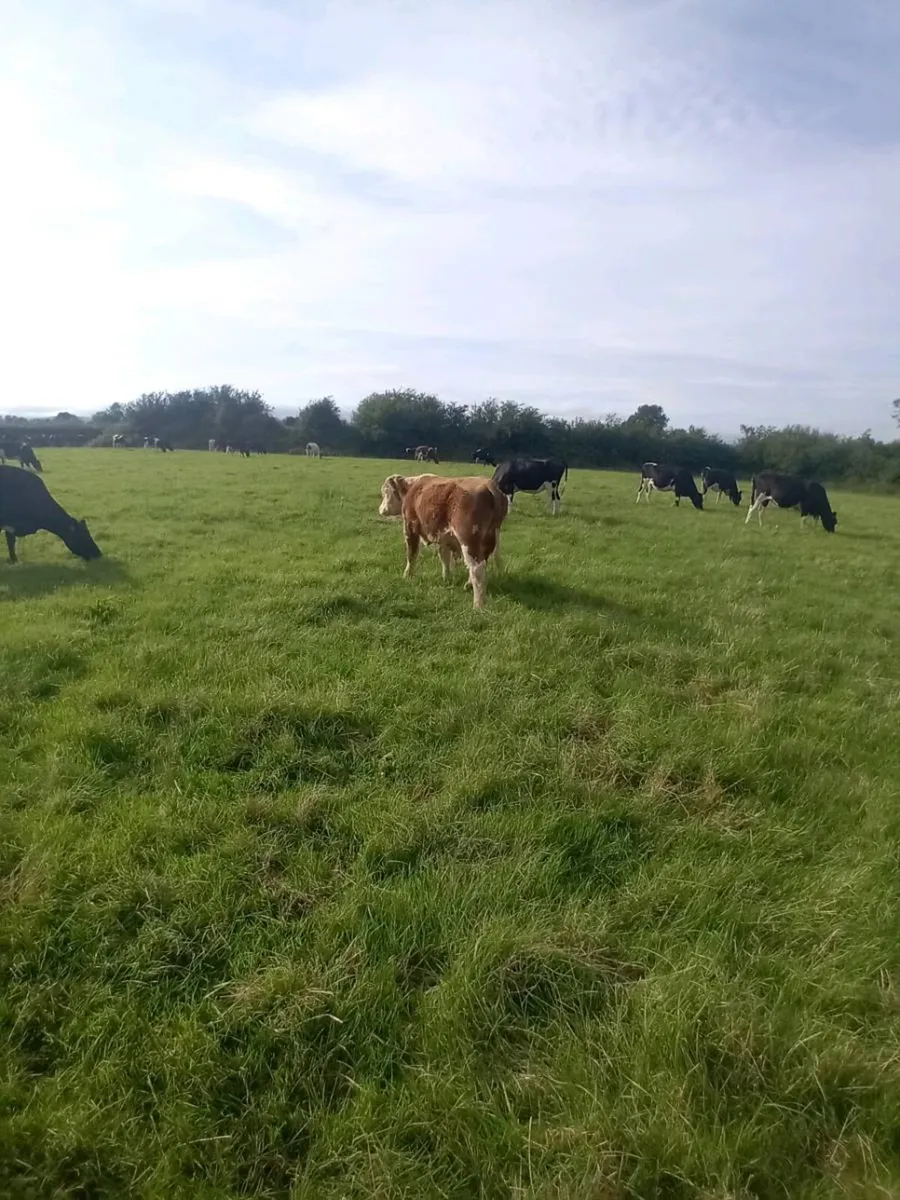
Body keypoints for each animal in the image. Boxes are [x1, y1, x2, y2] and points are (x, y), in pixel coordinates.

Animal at [378, 473, 508, 610]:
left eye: (386, 491)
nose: (380, 510)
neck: (412, 488)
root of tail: (489, 485)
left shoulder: (410, 527)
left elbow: (411, 555)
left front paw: (407, 575)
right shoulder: (443, 536)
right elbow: (444, 557)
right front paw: (446, 577)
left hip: (469, 539)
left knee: (477, 568)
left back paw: (478, 606)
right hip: (489, 539)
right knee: (482, 563)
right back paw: (468, 586)